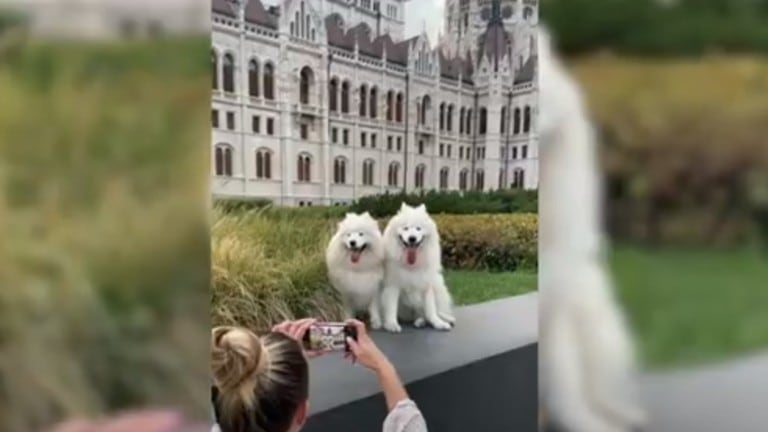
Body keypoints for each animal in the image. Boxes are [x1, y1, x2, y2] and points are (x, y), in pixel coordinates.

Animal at [380, 204, 456, 332]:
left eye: (418, 228)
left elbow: (431, 310)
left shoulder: (426, 285)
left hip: (438, 285)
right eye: (405, 228)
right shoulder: (393, 286)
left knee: (433, 312)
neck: (411, 266)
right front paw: (392, 324)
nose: (412, 238)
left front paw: (438, 323)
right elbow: (391, 308)